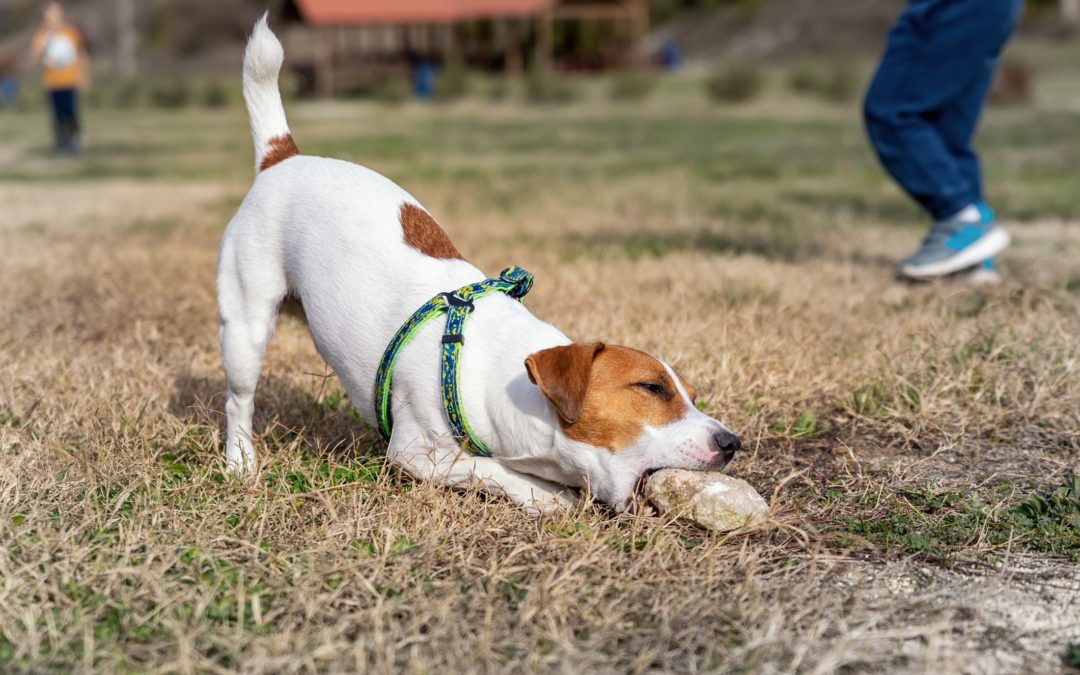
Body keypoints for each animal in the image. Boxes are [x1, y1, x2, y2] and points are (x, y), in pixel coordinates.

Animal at [219, 15, 743, 509]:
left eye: (691, 395)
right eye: (652, 388)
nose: (732, 441)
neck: (506, 380)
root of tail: (283, 157)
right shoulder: (416, 452)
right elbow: (488, 468)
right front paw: (544, 495)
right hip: (245, 327)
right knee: (239, 400)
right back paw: (240, 461)